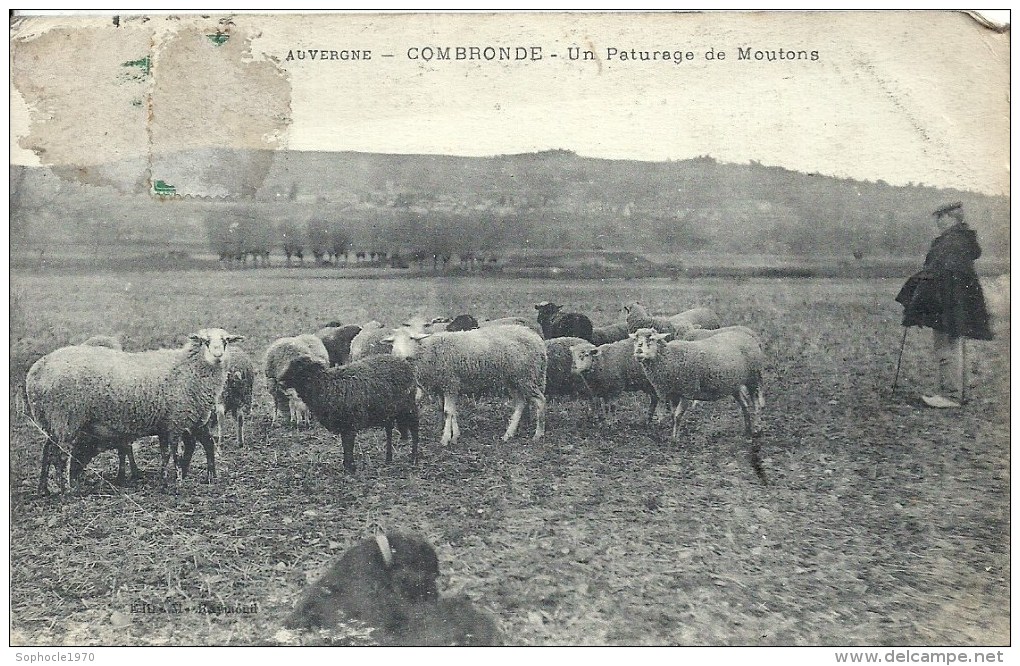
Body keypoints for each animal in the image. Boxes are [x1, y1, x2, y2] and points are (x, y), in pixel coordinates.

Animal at [26, 328, 241, 493]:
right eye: (205, 342)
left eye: (226, 341)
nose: (218, 356)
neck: (188, 367)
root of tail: (36, 372)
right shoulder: (175, 422)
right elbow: (173, 453)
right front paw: (176, 481)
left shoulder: (168, 423)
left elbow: (166, 453)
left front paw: (166, 480)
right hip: (65, 418)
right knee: (60, 455)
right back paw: (66, 490)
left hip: (52, 421)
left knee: (48, 451)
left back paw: (44, 489)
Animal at [275, 352, 418, 473]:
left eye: (299, 368)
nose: (280, 382)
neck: (325, 385)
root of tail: (404, 362)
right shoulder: (343, 424)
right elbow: (345, 445)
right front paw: (346, 465)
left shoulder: (350, 423)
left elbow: (349, 445)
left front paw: (350, 468)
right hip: (387, 411)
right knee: (389, 431)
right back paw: (388, 458)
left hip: (409, 406)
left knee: (414, 428)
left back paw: (414, 457)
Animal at [383, 324, 546, 446]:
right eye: (393, 342)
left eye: (411, 338)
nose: (400, 356)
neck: (429, 350)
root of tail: (536, 337)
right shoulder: (444, 387)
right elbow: (449, 411)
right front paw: (455, 435)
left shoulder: (450, 382)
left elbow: (448, 412)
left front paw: (445, 439)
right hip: (513, 379)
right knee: (520, 403)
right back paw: (508, 434)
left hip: (525, 376)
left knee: (540, 401)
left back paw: (538, 434)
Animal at [628, 326, 767, 446]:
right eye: (635, 339)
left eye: (651, 339)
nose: (638, 352)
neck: (670, 357)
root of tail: (750, 337)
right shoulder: (673, 394)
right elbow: (673, 415)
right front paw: (674, 435)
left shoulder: (687, 391)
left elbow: (678, 416)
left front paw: (675, 440)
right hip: (734, 385)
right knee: (745, 405)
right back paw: (747, 429)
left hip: (753, 377)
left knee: (756, 404)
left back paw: (757, 429)